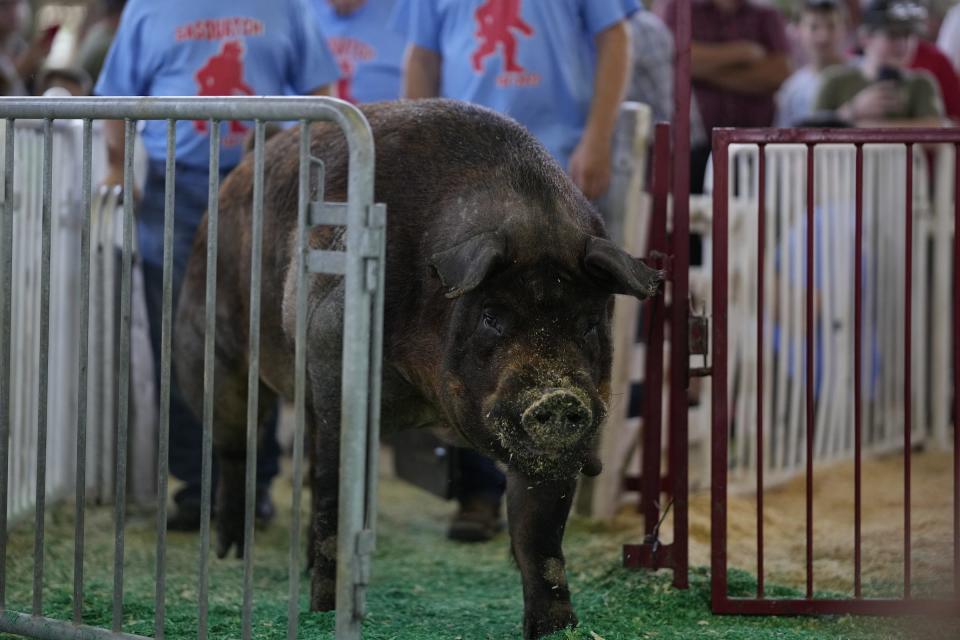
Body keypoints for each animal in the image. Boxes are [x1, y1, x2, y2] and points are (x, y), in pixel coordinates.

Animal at [174, 100, 660, 640]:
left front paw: (557, 628)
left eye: (590, 322)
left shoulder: (550, 454)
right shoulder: (335, 363)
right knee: (236, 443)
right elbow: (335, 502)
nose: (557, 396)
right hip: (208, 340)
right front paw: (326, 611)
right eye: (491, 316)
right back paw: (231, 552)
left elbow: (540, 535)